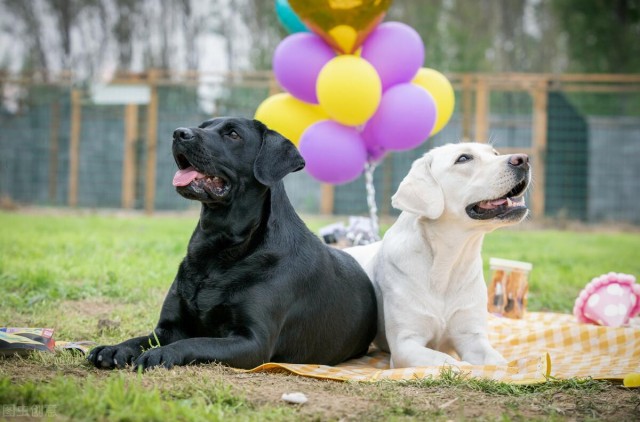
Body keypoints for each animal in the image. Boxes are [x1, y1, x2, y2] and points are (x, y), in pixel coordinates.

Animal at [87, 116, 378, 370]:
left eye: (233, 134)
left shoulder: (253, 341)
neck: (217, 249)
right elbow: (141, 338)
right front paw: (114, 348)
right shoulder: (169, 327)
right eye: (204, 125)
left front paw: (161, 354)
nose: (179, 133)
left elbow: (196, 342)